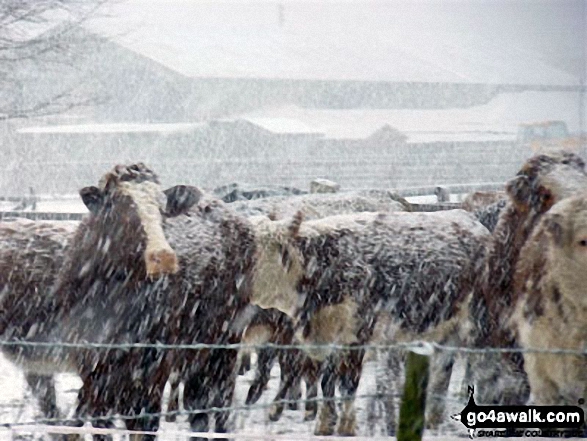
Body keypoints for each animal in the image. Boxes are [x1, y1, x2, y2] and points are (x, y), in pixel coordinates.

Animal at [249, 209, 492, 434]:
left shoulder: (357, 333)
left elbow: (348, 383)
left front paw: (346, 426)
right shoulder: (331, 338)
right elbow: (327, 380)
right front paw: (325, 424)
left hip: (478, 324)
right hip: (446, 329)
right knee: (443, 370)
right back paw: (433, 420)